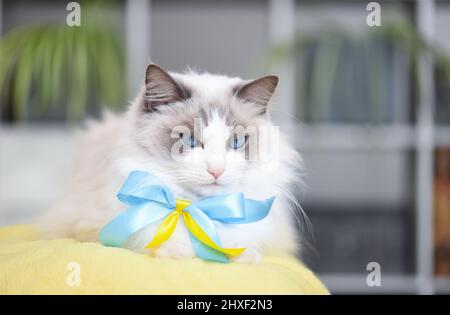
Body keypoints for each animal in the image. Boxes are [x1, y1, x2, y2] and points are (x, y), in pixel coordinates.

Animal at [39, 63, 306, 264]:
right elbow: (149, 239)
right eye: (189, 140)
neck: (196, 208)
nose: (216, 170)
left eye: (237, 142)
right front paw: (176, 252)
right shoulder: (93, 226)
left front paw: (244, 256)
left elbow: (241, 244)